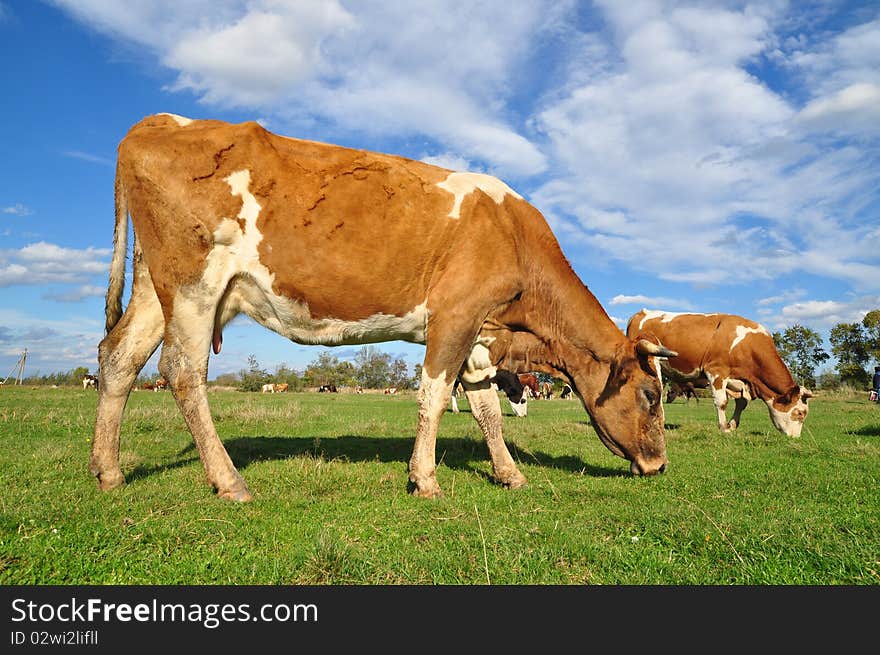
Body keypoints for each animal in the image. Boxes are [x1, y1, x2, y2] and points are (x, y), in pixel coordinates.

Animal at [91, 114, 672, 502]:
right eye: (650, 396)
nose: (661, 465)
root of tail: (155, 122)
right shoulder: (455, 315)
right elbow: (433, 396)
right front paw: (425, 478)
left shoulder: (479, 331)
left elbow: (485, 407)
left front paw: (508, 473)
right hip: (195, 284)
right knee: (182, 370)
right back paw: (229, 480)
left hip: (157, 290)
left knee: (119, 358)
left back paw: (108, 470)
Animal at [624, 312, 812, 438]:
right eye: (800, 413)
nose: (795, 438)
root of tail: (640, 313)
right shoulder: (716, 371)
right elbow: (722, 402)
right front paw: (723, 427)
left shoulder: (739, 381)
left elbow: (741, 403)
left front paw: (732, 425)